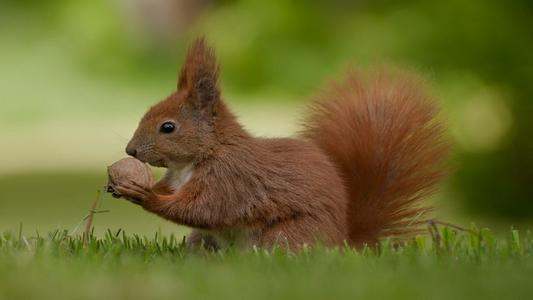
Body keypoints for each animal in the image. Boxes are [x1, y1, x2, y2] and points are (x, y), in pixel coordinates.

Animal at [113, 38, 448, 251]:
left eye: (168, 127)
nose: (131, 151)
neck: (198, 158)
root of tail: (342, 243)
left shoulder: (231, 179)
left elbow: (202, 209)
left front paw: (144, 195)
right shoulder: (177, 179)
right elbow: (174, 194)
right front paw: (129, 185)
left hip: (285, 236)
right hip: (204, 240)